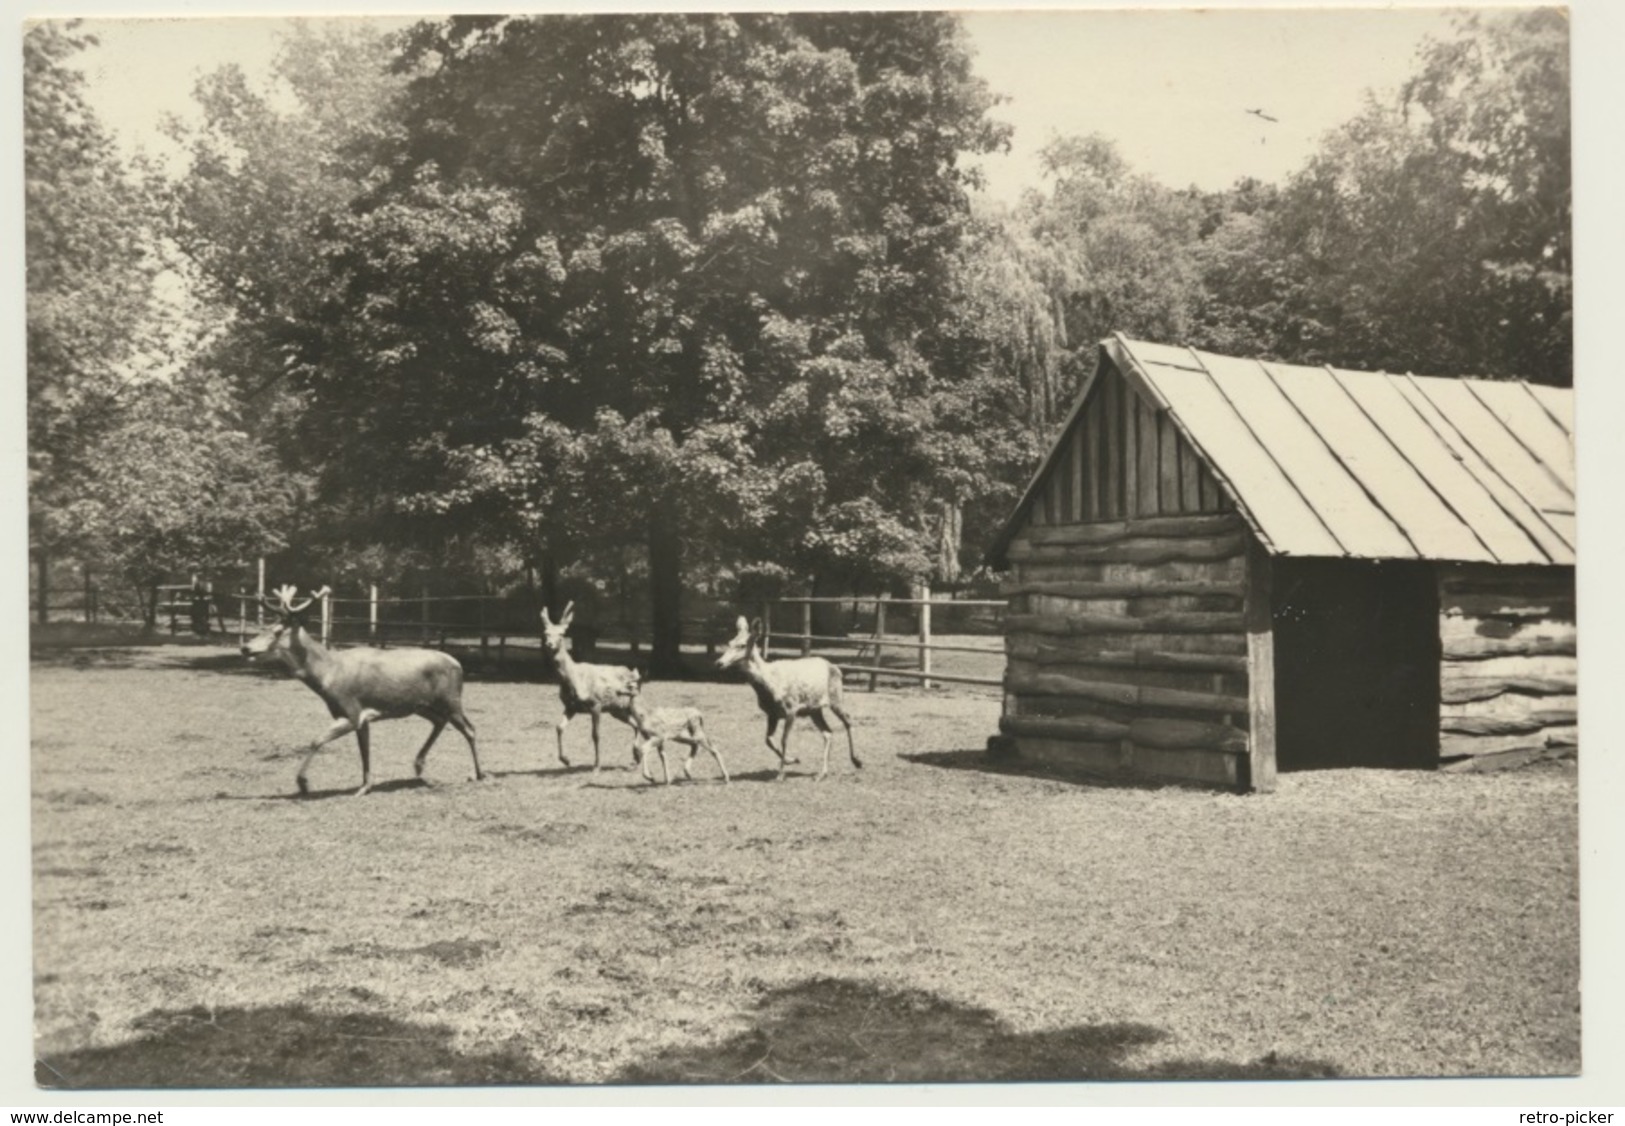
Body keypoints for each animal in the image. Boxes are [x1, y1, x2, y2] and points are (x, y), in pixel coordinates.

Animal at [240, 584, 481, 796]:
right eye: (263, 628)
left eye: (277, 631)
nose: (245, 647)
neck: (329, 675)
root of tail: (458, 664)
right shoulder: (361, 717)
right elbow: (364, 750)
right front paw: (365, 786)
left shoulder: (352, 711)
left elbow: (316, 740)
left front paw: (303, 784)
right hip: (421, 705)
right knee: (440, 721)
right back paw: (418, 765)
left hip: (451, 698)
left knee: (469, 728)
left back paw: (477, 773)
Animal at [715, 614, 858, 783]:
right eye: (729, 642)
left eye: (742, 645)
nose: (719, 663)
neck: (770, 685)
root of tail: (836, 668)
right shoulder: (771, 713)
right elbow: (768, 739)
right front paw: (793, 759)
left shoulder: (791, 708)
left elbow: (784, 739)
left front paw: (781, 774)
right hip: (814, 710)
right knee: (828, 732)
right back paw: (822, 773)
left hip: (836, 697)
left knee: (848, 720)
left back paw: (856, 761)